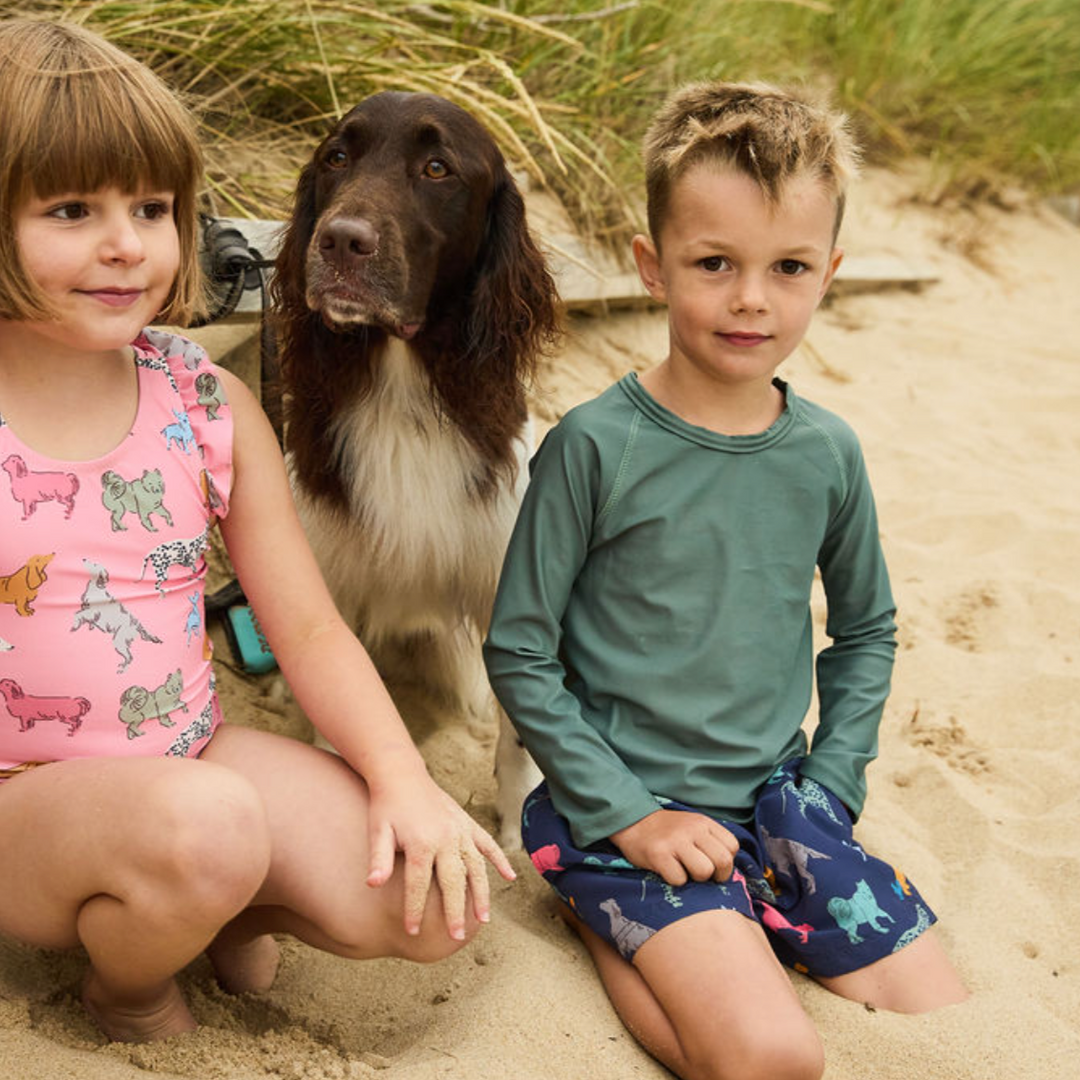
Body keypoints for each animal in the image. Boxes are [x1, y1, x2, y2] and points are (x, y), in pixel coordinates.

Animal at [270, 92, 561, 838]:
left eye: (437, 168)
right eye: (336, 157)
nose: (339, 241)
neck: (402, 387)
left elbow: (520, 741)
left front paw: (517, 830)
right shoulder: (332, 575)